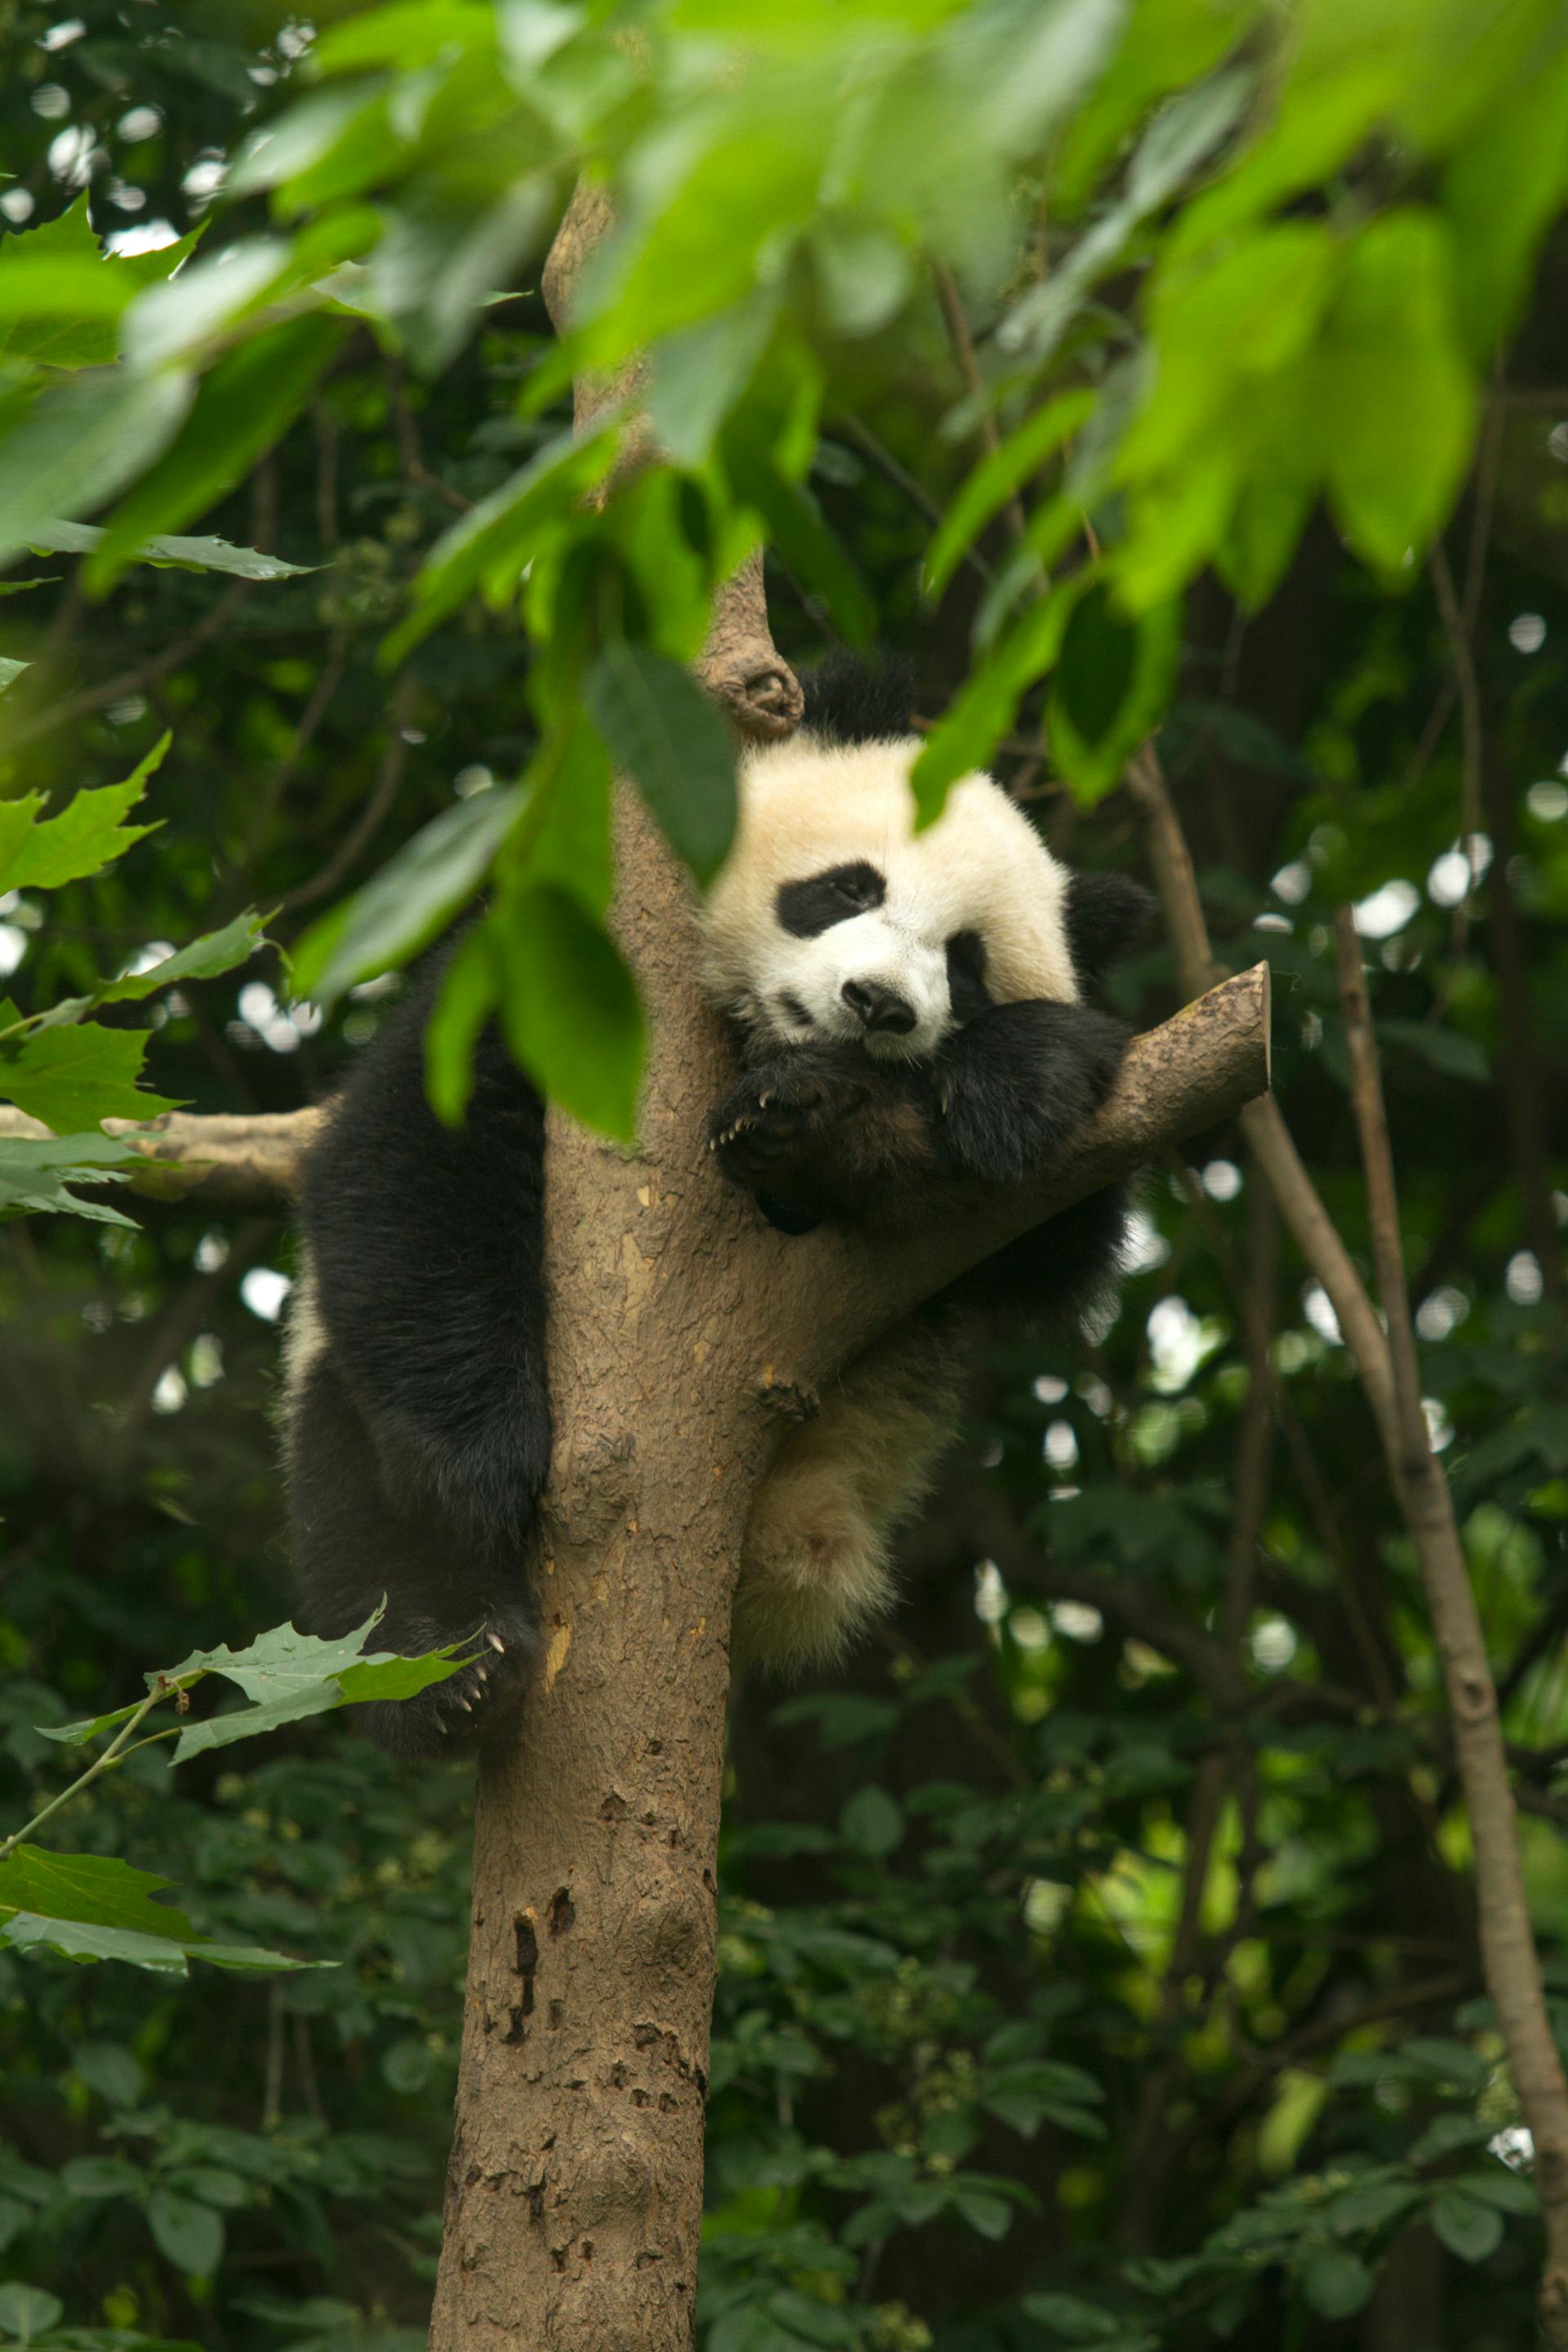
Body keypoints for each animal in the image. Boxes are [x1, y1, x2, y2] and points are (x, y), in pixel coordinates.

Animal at [282, 655, 1149, 1756]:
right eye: (848, 887)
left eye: (965, 962)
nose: (877, 1003)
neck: (751, 1040)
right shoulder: (546, 989)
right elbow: (412, 1161)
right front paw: (488, 1464)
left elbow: (1060, 1233)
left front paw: (964, 1088)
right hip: (337, 1395)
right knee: (351, 1504)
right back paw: (450, 1669)